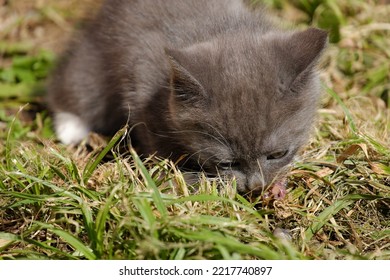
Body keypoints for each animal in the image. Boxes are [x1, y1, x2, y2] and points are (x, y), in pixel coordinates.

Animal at [47, 0, 328, 196]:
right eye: (227, 163)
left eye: (278, 153)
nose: (255, 186)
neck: (218, 29)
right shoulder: (141, 81)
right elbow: (157, 146)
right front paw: (186, 182)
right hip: (91, 66)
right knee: (72, 89)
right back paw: (70, 129)